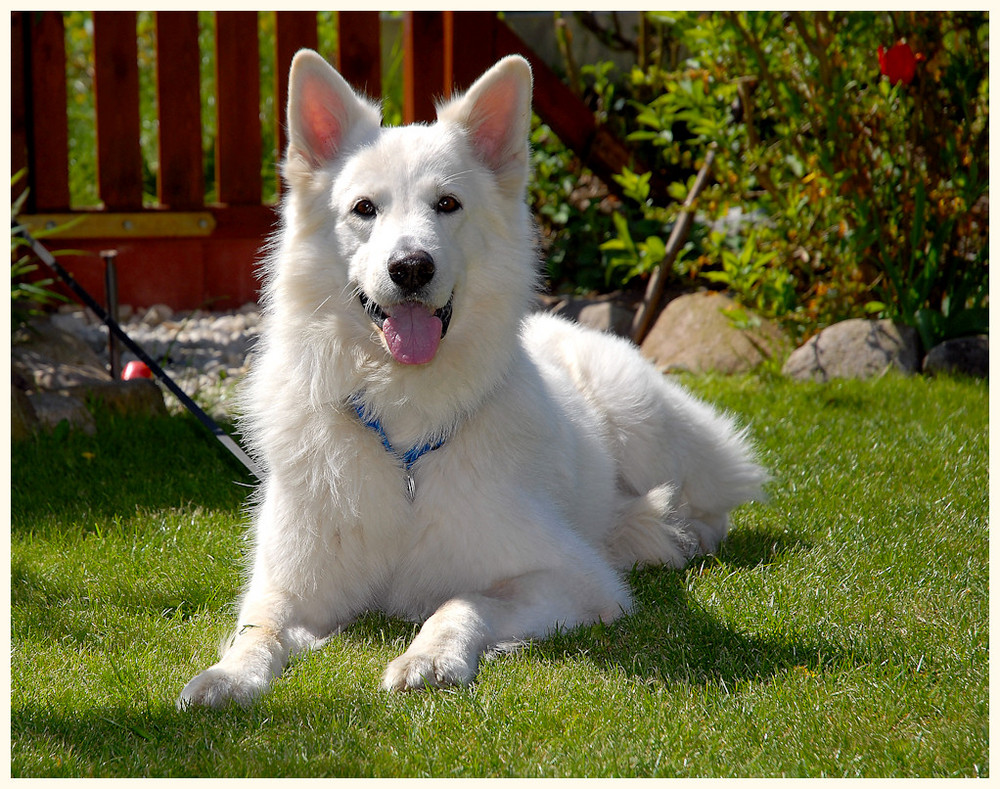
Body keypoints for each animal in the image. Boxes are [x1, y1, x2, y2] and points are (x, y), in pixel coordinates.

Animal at [176, 50, 764, 708]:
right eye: (364, 209)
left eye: (448, 205)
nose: (410, 268)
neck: (404, 432)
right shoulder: (288, 591)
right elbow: (258, 632)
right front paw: (226, 678)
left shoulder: (575, 580)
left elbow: (461, 601)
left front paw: (430, 658)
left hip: (644, 428)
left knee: (708, 504)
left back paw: (673, 534)